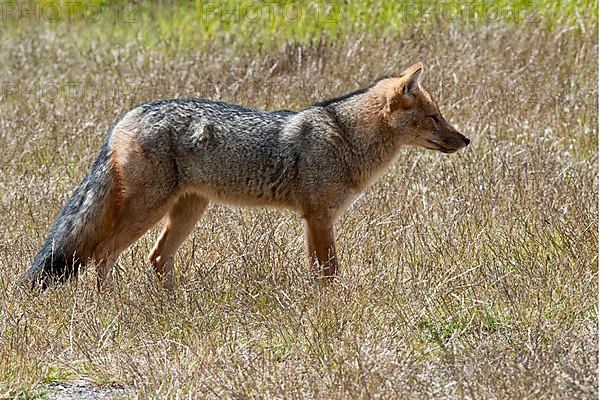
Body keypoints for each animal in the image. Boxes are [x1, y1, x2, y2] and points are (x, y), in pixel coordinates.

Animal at [24, 62, 468, 290]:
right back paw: (113, 304)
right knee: (103, 253)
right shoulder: (318, 218)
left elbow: (320, 271)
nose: (466, 139)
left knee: (156, 258)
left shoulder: (315, 220)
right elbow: (329, 271)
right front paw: (333, 306)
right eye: (434, 117)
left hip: (187, 213)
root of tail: (126, 117)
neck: (345, 136)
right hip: (149, 211)